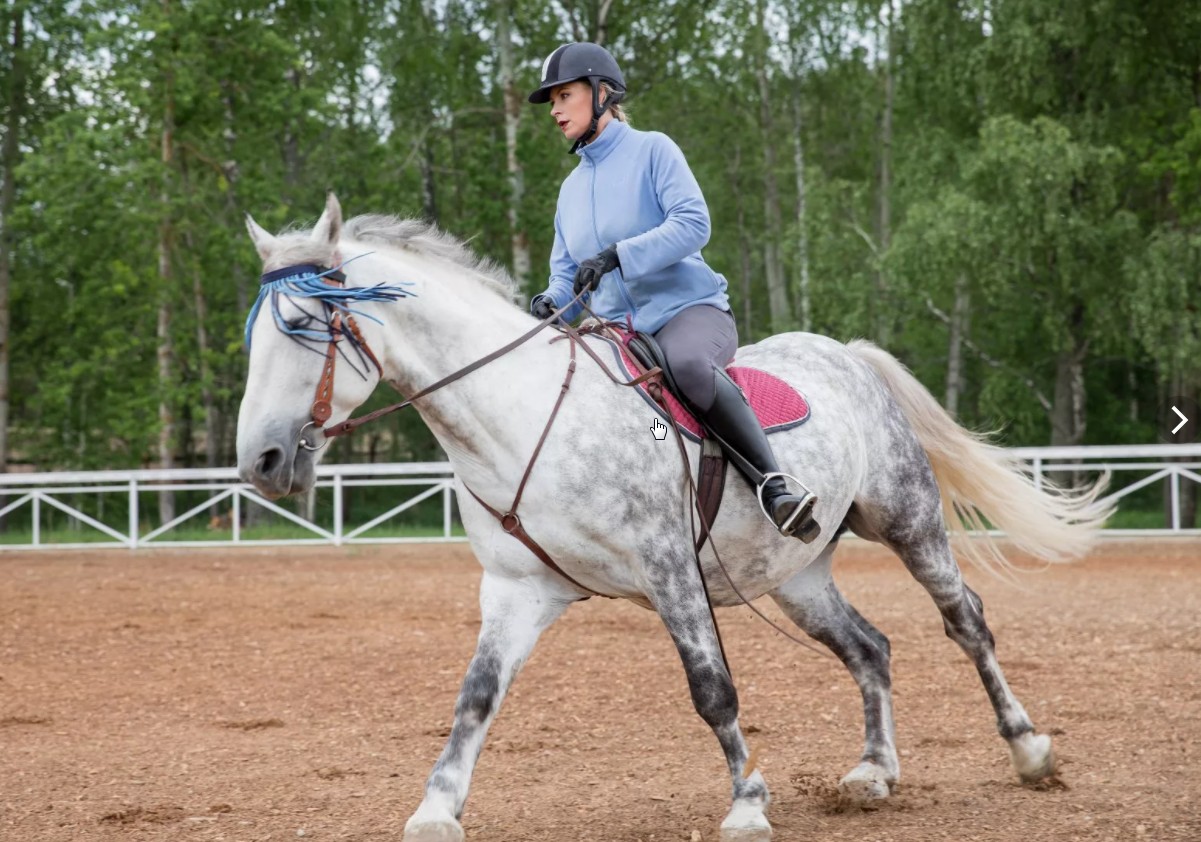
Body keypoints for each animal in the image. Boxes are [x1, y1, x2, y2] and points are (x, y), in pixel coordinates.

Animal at [238, 195, 1109, 840]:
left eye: (306, 326)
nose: (261, 462)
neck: (524, 414)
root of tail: (847, 353)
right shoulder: (516, 590)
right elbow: (476, 695)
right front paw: (436, 806)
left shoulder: (667, 570)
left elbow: (711, 689)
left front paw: (747, 802)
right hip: (794, 575)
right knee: (870, 648)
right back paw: (873, 771)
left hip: (908, 523)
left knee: (965, 623)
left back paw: (1028, 749)